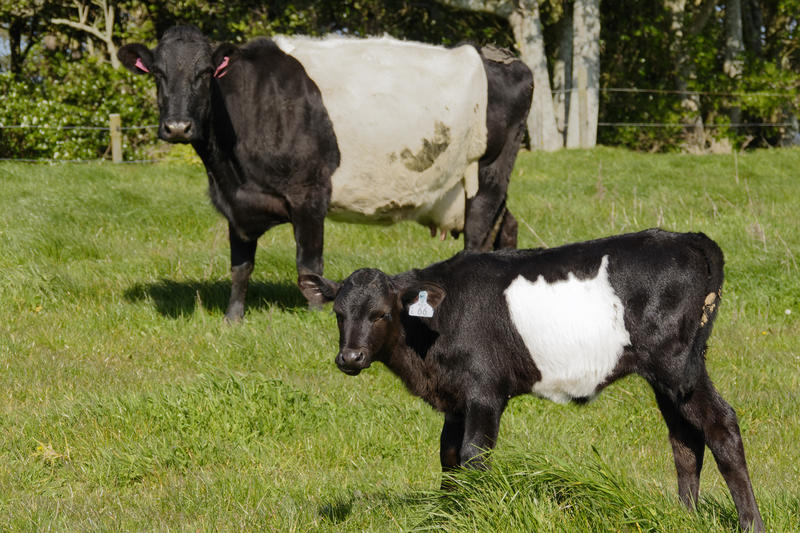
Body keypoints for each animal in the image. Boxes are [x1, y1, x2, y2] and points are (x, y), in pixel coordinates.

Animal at [119, 26, 532, 320]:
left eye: (206, 73)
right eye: (157, 73)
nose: (177, 126)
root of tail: (501, 56)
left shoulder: (309, 194)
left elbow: (308, 266)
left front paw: (317, 315)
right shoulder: (237, 204)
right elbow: (240, 268)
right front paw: (232, 320)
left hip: (488, 173)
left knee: (478, 239)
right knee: (506, 227)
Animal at [304, 229, 764, 532]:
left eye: (381, 313)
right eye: (339, 314)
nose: (350, 357)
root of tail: (685, 237)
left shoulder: (485, 390)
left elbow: (473, 456)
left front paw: (473, 515)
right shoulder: (455, 398)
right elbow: (448, 457)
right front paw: (447, 515)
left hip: (675, 363)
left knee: (720, 424)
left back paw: (750, 523)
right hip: (669, 375)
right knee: (684, 437)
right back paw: (684, 517)